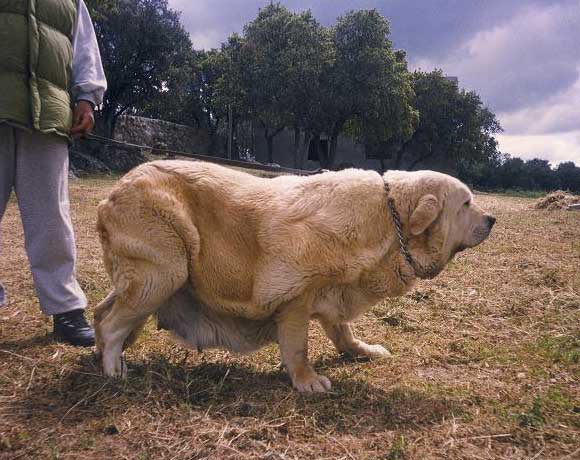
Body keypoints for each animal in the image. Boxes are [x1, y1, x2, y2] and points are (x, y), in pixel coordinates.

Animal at [94, 162, 494, 392]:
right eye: (466, 204)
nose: (492, 219)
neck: (386, 218)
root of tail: (111, 193)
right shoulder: (296, 296)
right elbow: (298, 346)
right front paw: (307, 381)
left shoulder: (335, 291)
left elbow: (343, 332)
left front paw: (362, 351)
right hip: (164, 272)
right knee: (113, 322)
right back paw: (113, 369)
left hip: (151, 279)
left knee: (102, 313)